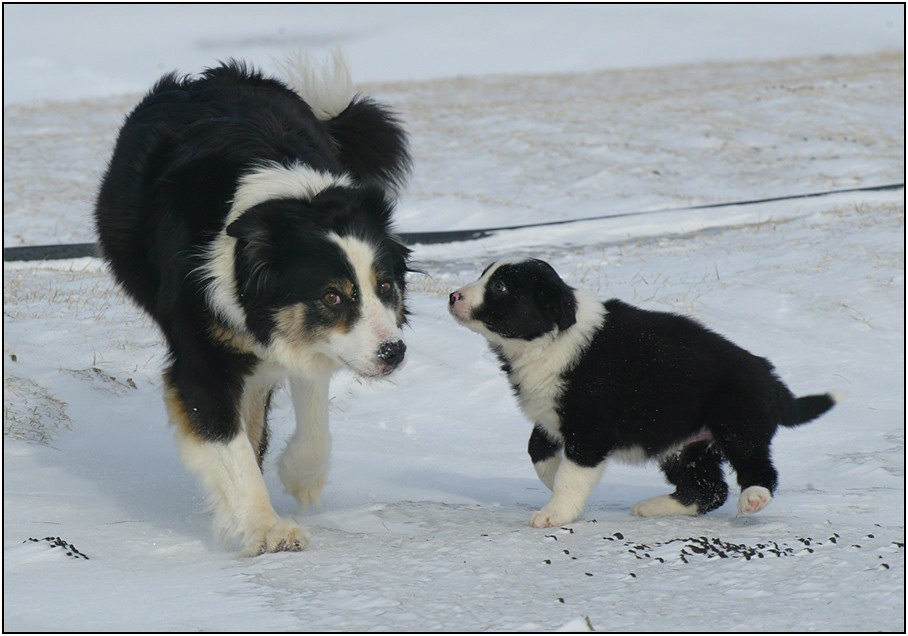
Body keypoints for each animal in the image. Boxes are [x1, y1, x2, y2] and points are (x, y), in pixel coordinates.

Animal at [95, 52, 412, 556]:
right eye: (331, 296)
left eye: (384, 286)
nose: (393, 353)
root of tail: (206, 77)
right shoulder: (202, 351)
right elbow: (229, 443)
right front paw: (266, 528)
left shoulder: (301, 340)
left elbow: (311, 399)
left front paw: (300, 475)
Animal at [450, 258, 840, 528]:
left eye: (501, 287)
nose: (453, 296)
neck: (551, 337)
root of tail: (768, 375)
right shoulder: (553, 415)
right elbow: (538, 451)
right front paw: (551, 481)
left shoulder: (589, 428)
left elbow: (571, 474)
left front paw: (555, 513)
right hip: (684, 445)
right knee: (708, 488)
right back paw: (655, 507)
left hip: (737, 421)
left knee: (757, 468)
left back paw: (754, 499)